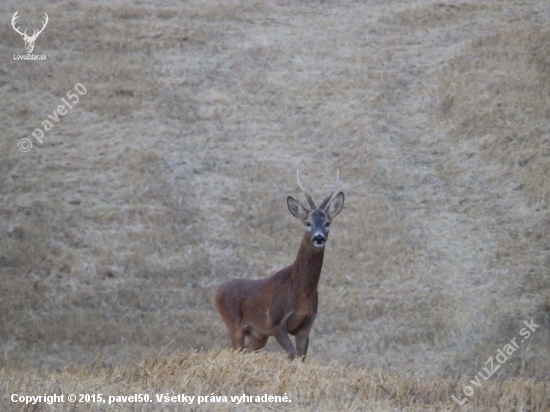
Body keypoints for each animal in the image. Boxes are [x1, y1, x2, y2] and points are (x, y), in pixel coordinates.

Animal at [216, 169, 344, 358]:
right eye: (308, 223)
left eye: (327, 223)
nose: (319, 237)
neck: (301, 291)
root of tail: (217, 291)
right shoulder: (276, 322)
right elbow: (291, 354)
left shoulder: (306, 325)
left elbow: (301, 357)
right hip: (234, 324)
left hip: (258, 334)